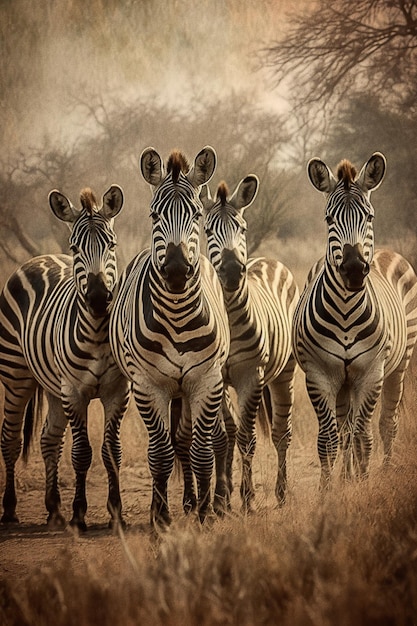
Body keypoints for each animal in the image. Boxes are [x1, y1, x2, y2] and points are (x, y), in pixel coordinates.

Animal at [0, 185, 130, 528]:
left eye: (112, 245)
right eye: (75, 247)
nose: (98, 298)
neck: (98, 332)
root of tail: (40, 257)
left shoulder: (117, 391)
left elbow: (111, 450)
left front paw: (116, 512)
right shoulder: (74, 392)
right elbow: (82, 452)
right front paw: (79, 513)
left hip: (52, 386)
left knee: (49, 438)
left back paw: (54, 509)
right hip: (17, 376)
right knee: (11, 439)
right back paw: (10, 509)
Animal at [109, 146, 229, 528]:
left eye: (197, 214)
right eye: (154, 215)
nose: (176, 271)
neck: (176, 316)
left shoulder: (206, 380)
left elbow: (201, 450)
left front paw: (205, 513)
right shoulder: (148, 385)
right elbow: (159, 454)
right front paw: (159, 517)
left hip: (187, 390)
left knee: (185, 439)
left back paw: (193, 501)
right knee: (168, 444)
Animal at [201, 176, 300, 508]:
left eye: (242, 229)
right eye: (207, 230)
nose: (233, 272)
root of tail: (266, 259)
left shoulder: (252, 375)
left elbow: (248, 438)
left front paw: (248, 499)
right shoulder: (213, 375)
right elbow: (223, 435)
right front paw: (222, 499)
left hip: (284, 374)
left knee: (282, 433)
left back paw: (281, 494)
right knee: (233, 430)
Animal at [290, 152, 416, 488]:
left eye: (369, 217)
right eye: (328, 219)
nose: (355, 269)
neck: (347, 308)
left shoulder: (371, 373)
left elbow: (363, 435)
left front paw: (363, 484)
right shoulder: (319, 374)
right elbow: (329, 440)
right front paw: (329, 491)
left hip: (399, 364)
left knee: (386, 422)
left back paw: (383, 469)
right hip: (344, 381)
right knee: (344, 429)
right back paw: (346, 476)